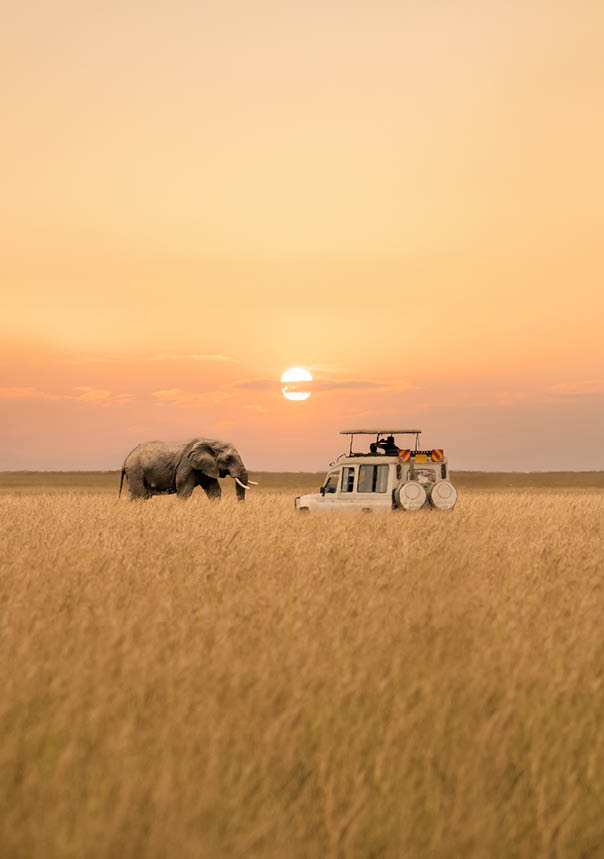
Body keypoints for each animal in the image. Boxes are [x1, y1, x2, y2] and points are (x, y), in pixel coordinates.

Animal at [119, 438, 256, 501]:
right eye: (228, 458)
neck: (211, 442)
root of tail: (126, 459)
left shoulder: (207, 467)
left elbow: (214, 491)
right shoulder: (187, 466)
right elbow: (184, 491)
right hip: (136, 471)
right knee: (140, 496)